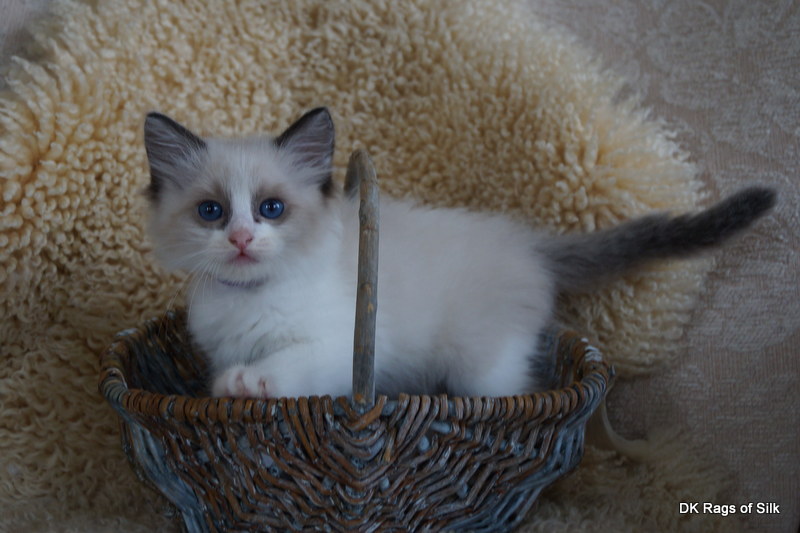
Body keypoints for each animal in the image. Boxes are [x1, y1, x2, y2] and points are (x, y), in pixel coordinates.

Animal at [143, 107, 776, 399]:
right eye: (212, 213)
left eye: (270, 209)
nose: (241, 239)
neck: (252, 297)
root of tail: (527, 242)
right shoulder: (220, 345)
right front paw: (230, 385)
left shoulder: (340, 346)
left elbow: (288, 363)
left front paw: (248, 384)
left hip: (482, 369)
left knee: (514, 393)